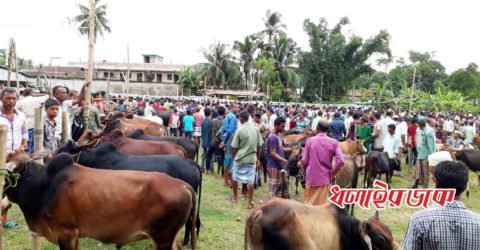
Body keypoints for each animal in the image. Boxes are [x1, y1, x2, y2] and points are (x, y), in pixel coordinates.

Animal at [4, 150, 196, 250]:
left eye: (9, 174)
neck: (44, 185)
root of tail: (182, 184)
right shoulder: (75, 235)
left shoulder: (65, 233)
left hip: (163, 238)